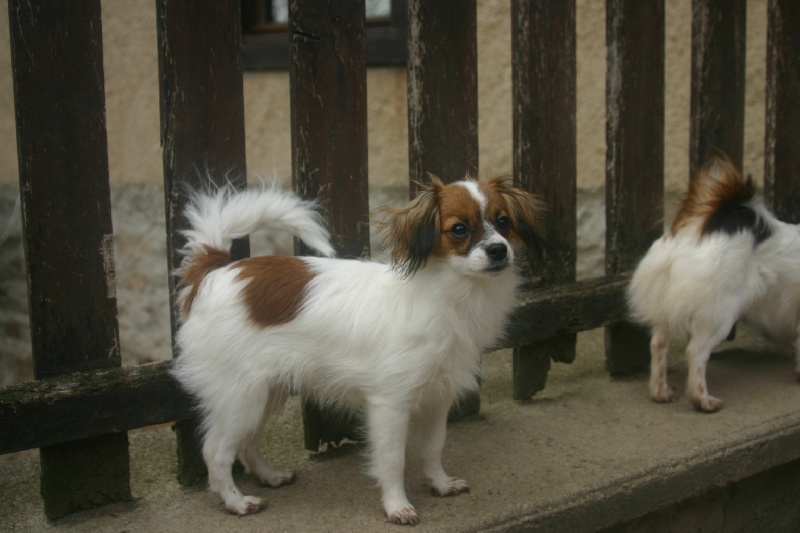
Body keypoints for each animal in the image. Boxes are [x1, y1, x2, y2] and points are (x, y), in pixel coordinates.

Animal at [169, 177, 544, 520]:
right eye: (459, 229)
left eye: (503, 222)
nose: (498, 250)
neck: (448, 294)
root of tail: (213, 273)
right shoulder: (390, 404)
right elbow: (393, 459)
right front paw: (396, 506)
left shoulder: (437, 398)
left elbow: (433, 447)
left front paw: (439, 483)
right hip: (240, 396)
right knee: (216, 451)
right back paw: (236, 502)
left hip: (264, 392)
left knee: (247, 442)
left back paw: (269, 476)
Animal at [632, 154, 800, 412]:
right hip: (720, 314)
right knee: (696, 352)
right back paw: (703, 400)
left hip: (669, 306)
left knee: (658, 344)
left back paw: (661, 392)